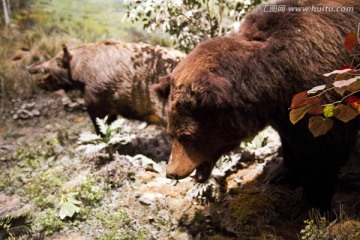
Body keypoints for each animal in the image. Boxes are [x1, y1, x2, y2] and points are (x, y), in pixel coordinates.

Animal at [153, 0, 360, 211]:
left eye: (188, 136)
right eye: (171, 133)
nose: (171, 173)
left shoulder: (322, 91)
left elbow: (325, 152)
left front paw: (309, 204)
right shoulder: (284, 109)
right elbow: (290, 139)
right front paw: (280, 174)